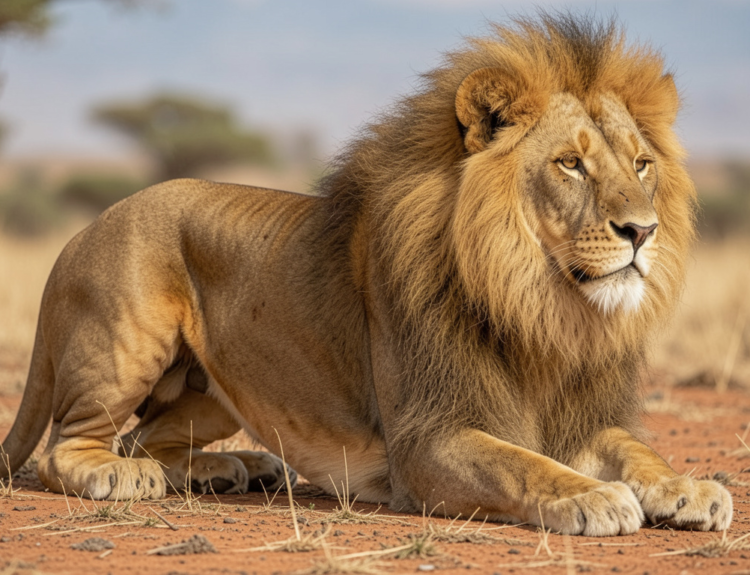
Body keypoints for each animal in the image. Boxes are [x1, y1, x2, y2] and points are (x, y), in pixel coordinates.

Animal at [1, 13, 733, 536]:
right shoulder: (427, 439)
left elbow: (635, 448)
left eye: (640, 164)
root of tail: (85, 230)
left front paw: (690, 488)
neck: (541, 306)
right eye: (570, 164)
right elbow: (524, 466)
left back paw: (236, 466)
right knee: (69, 447)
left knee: (142, 439)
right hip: (129, 341)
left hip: (211, 390)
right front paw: (595, 496)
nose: (642, 231)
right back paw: (131, 479)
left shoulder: (578, 418)